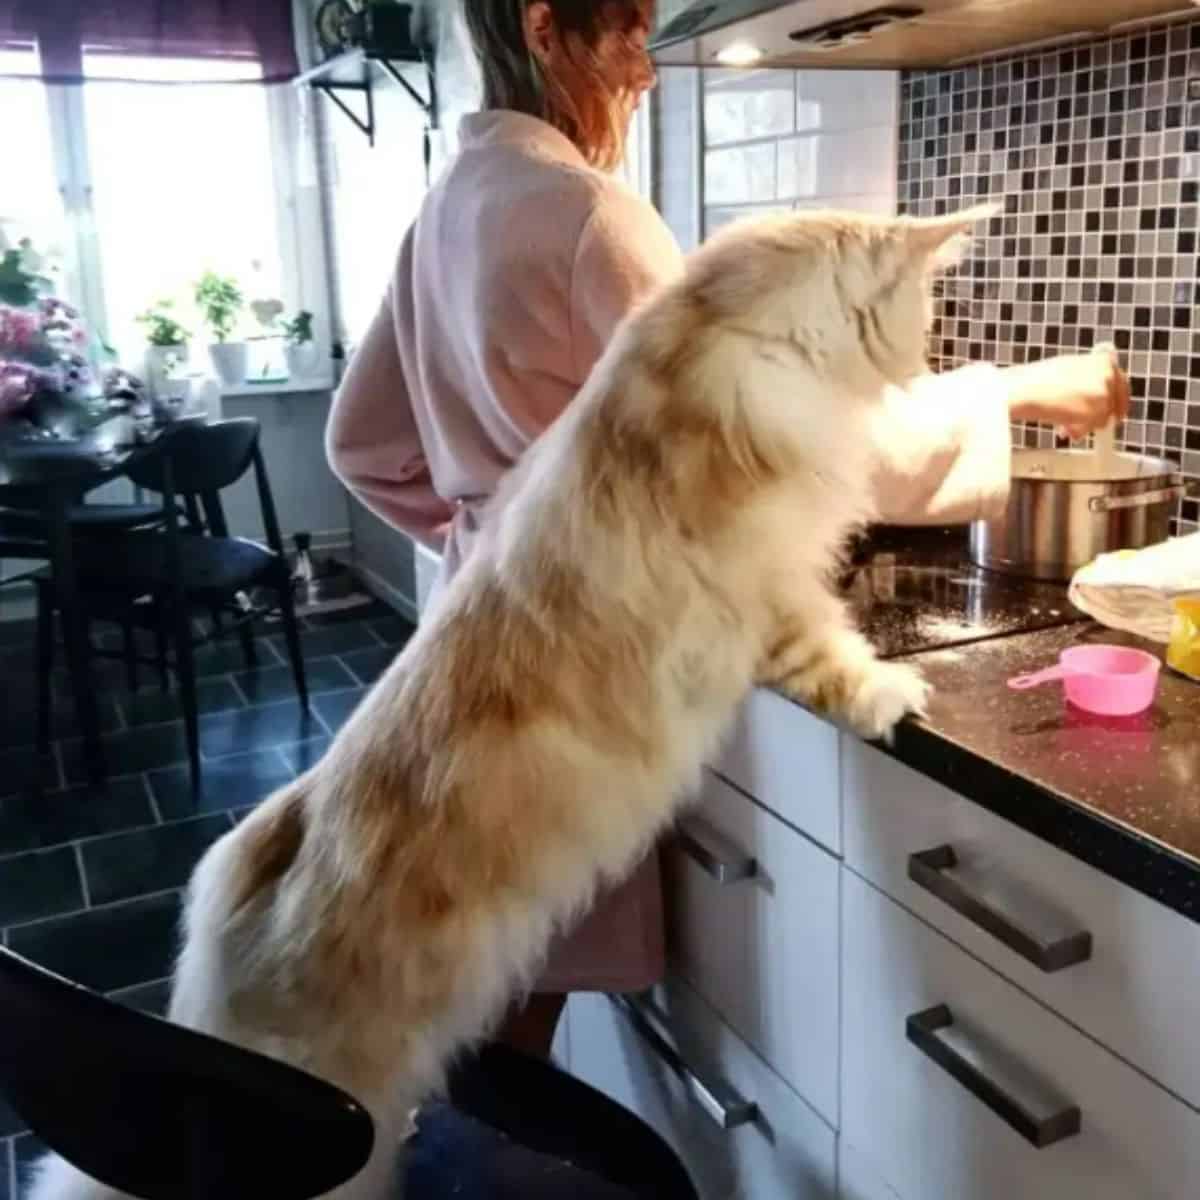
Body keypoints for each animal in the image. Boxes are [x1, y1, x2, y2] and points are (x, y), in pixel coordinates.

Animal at [32, 204, 993, 1200]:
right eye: (925, 310)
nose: (928, 356)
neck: (718, 330)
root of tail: (251, 878)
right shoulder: (772, 588)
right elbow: (832, 653)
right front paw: (888, 693)